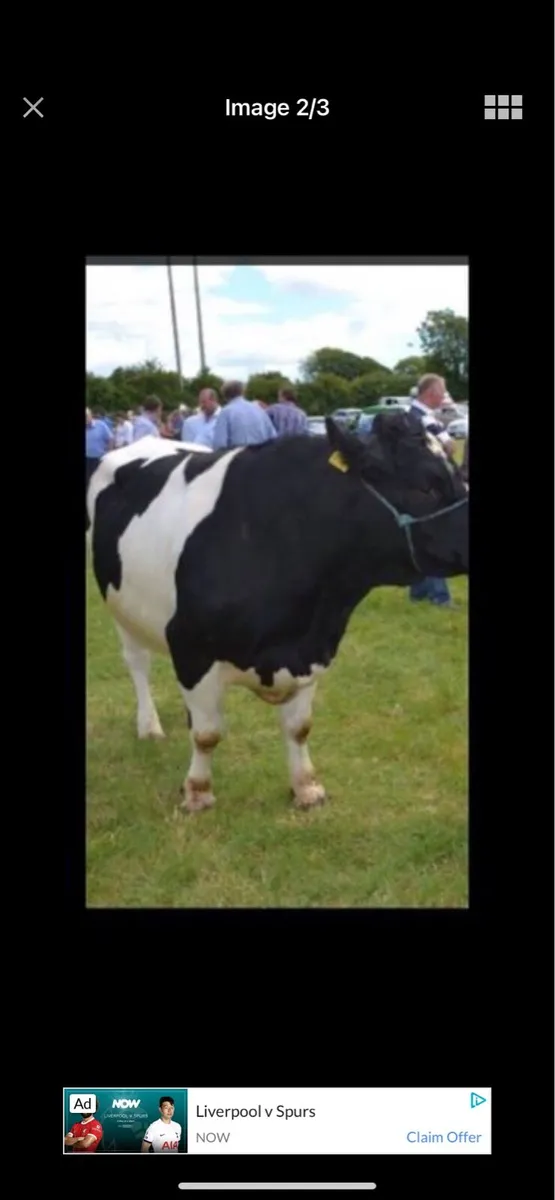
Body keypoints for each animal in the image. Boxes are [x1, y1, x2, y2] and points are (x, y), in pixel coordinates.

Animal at [86, 411, 468, 813]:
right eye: (426, 488)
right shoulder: (191, 647)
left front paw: (306, 788)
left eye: (459, 475)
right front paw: (198, 793)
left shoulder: (312, 650)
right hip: (122, 607)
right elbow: (207, 734)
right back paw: (149, 726)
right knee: (137, 663)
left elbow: (298, 728)